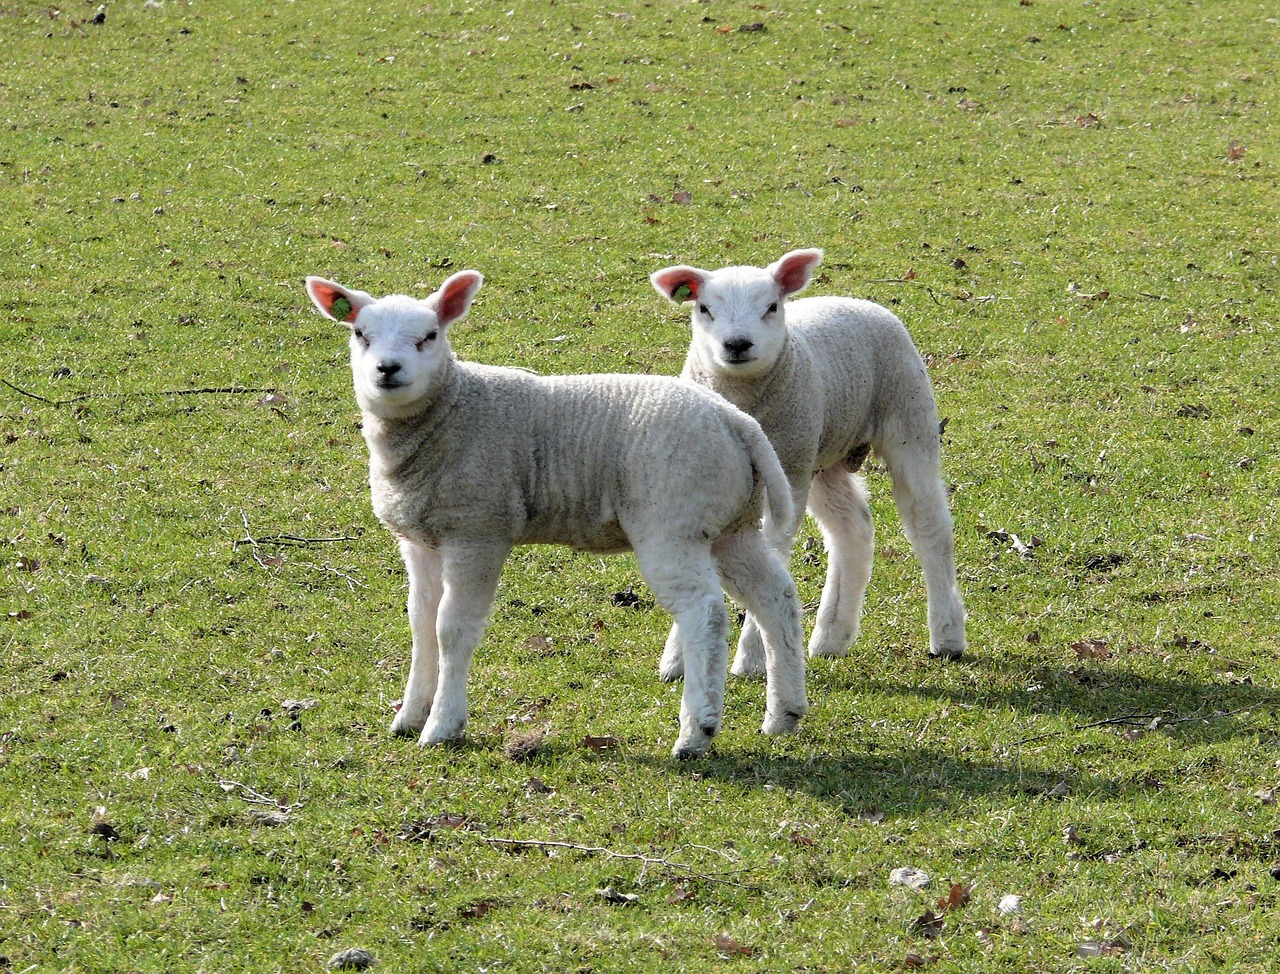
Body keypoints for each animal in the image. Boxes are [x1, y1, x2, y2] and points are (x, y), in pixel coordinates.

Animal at [304, 269, 808, 759]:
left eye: (429, 336)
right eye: (361, 334)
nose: (387, 369)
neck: (450, 412)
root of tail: (735, 421)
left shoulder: (477, 530)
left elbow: (451, 629)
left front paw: (443, 726)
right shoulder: (420, 540)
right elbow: (421, 624)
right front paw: (410, 717)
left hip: (673, 522)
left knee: (705, 612)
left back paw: (695, 734)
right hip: (730, 525)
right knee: (776, 595)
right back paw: (784, 714)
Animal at [649, 248, 967, 678]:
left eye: (771, 306)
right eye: (704, 308)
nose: (737, 344)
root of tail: (857, 300)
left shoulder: (787, 476)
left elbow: (771, 554)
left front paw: (752, 657)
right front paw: (677, 658)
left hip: (907, 420)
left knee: (930, 526)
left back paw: (947, 635)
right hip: (822, 455)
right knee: (852, 529)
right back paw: (832, 636)